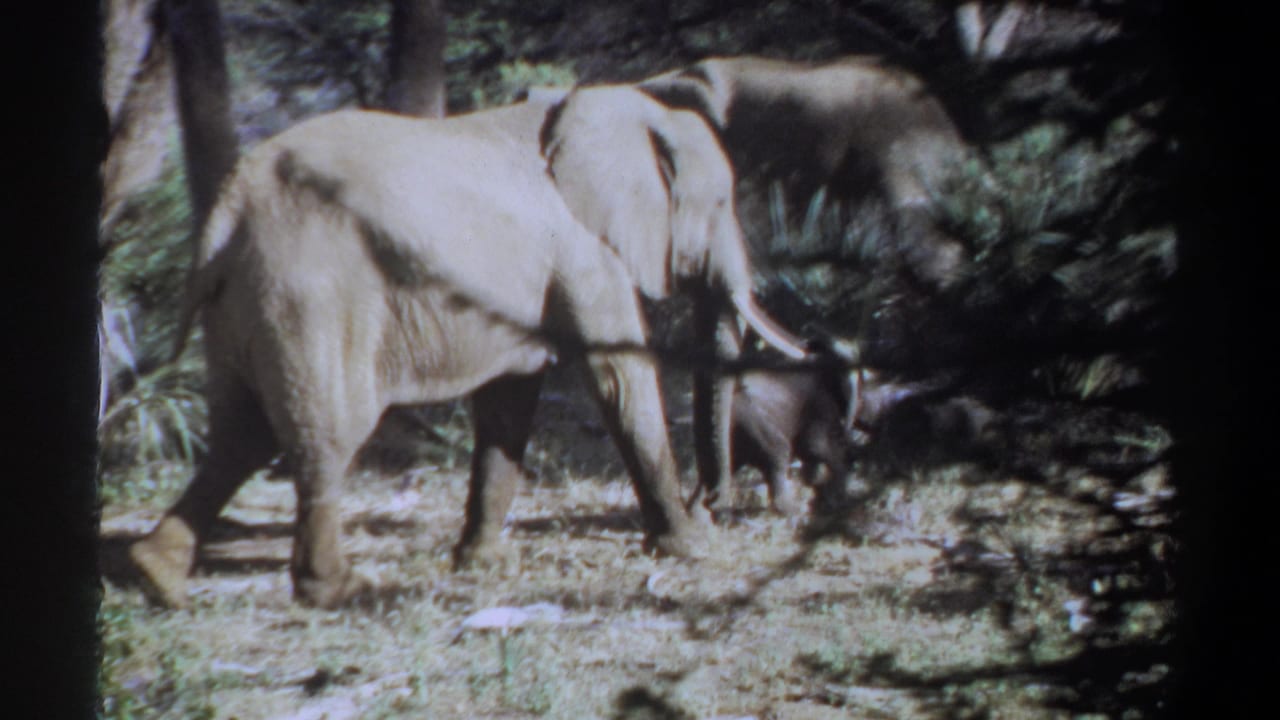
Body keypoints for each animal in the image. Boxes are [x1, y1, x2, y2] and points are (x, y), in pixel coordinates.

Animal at [129, 87, 806, 609]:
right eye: (721, 203)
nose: (710, 504)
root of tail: (226, 210)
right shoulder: (585, 253)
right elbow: (618, 375)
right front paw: (691, 546)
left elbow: (511, 398)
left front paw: (482, 564)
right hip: (309, 298)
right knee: (323, 437)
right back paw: (342, 590)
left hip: (241, 306)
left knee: (241, 436)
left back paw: (155, 576)